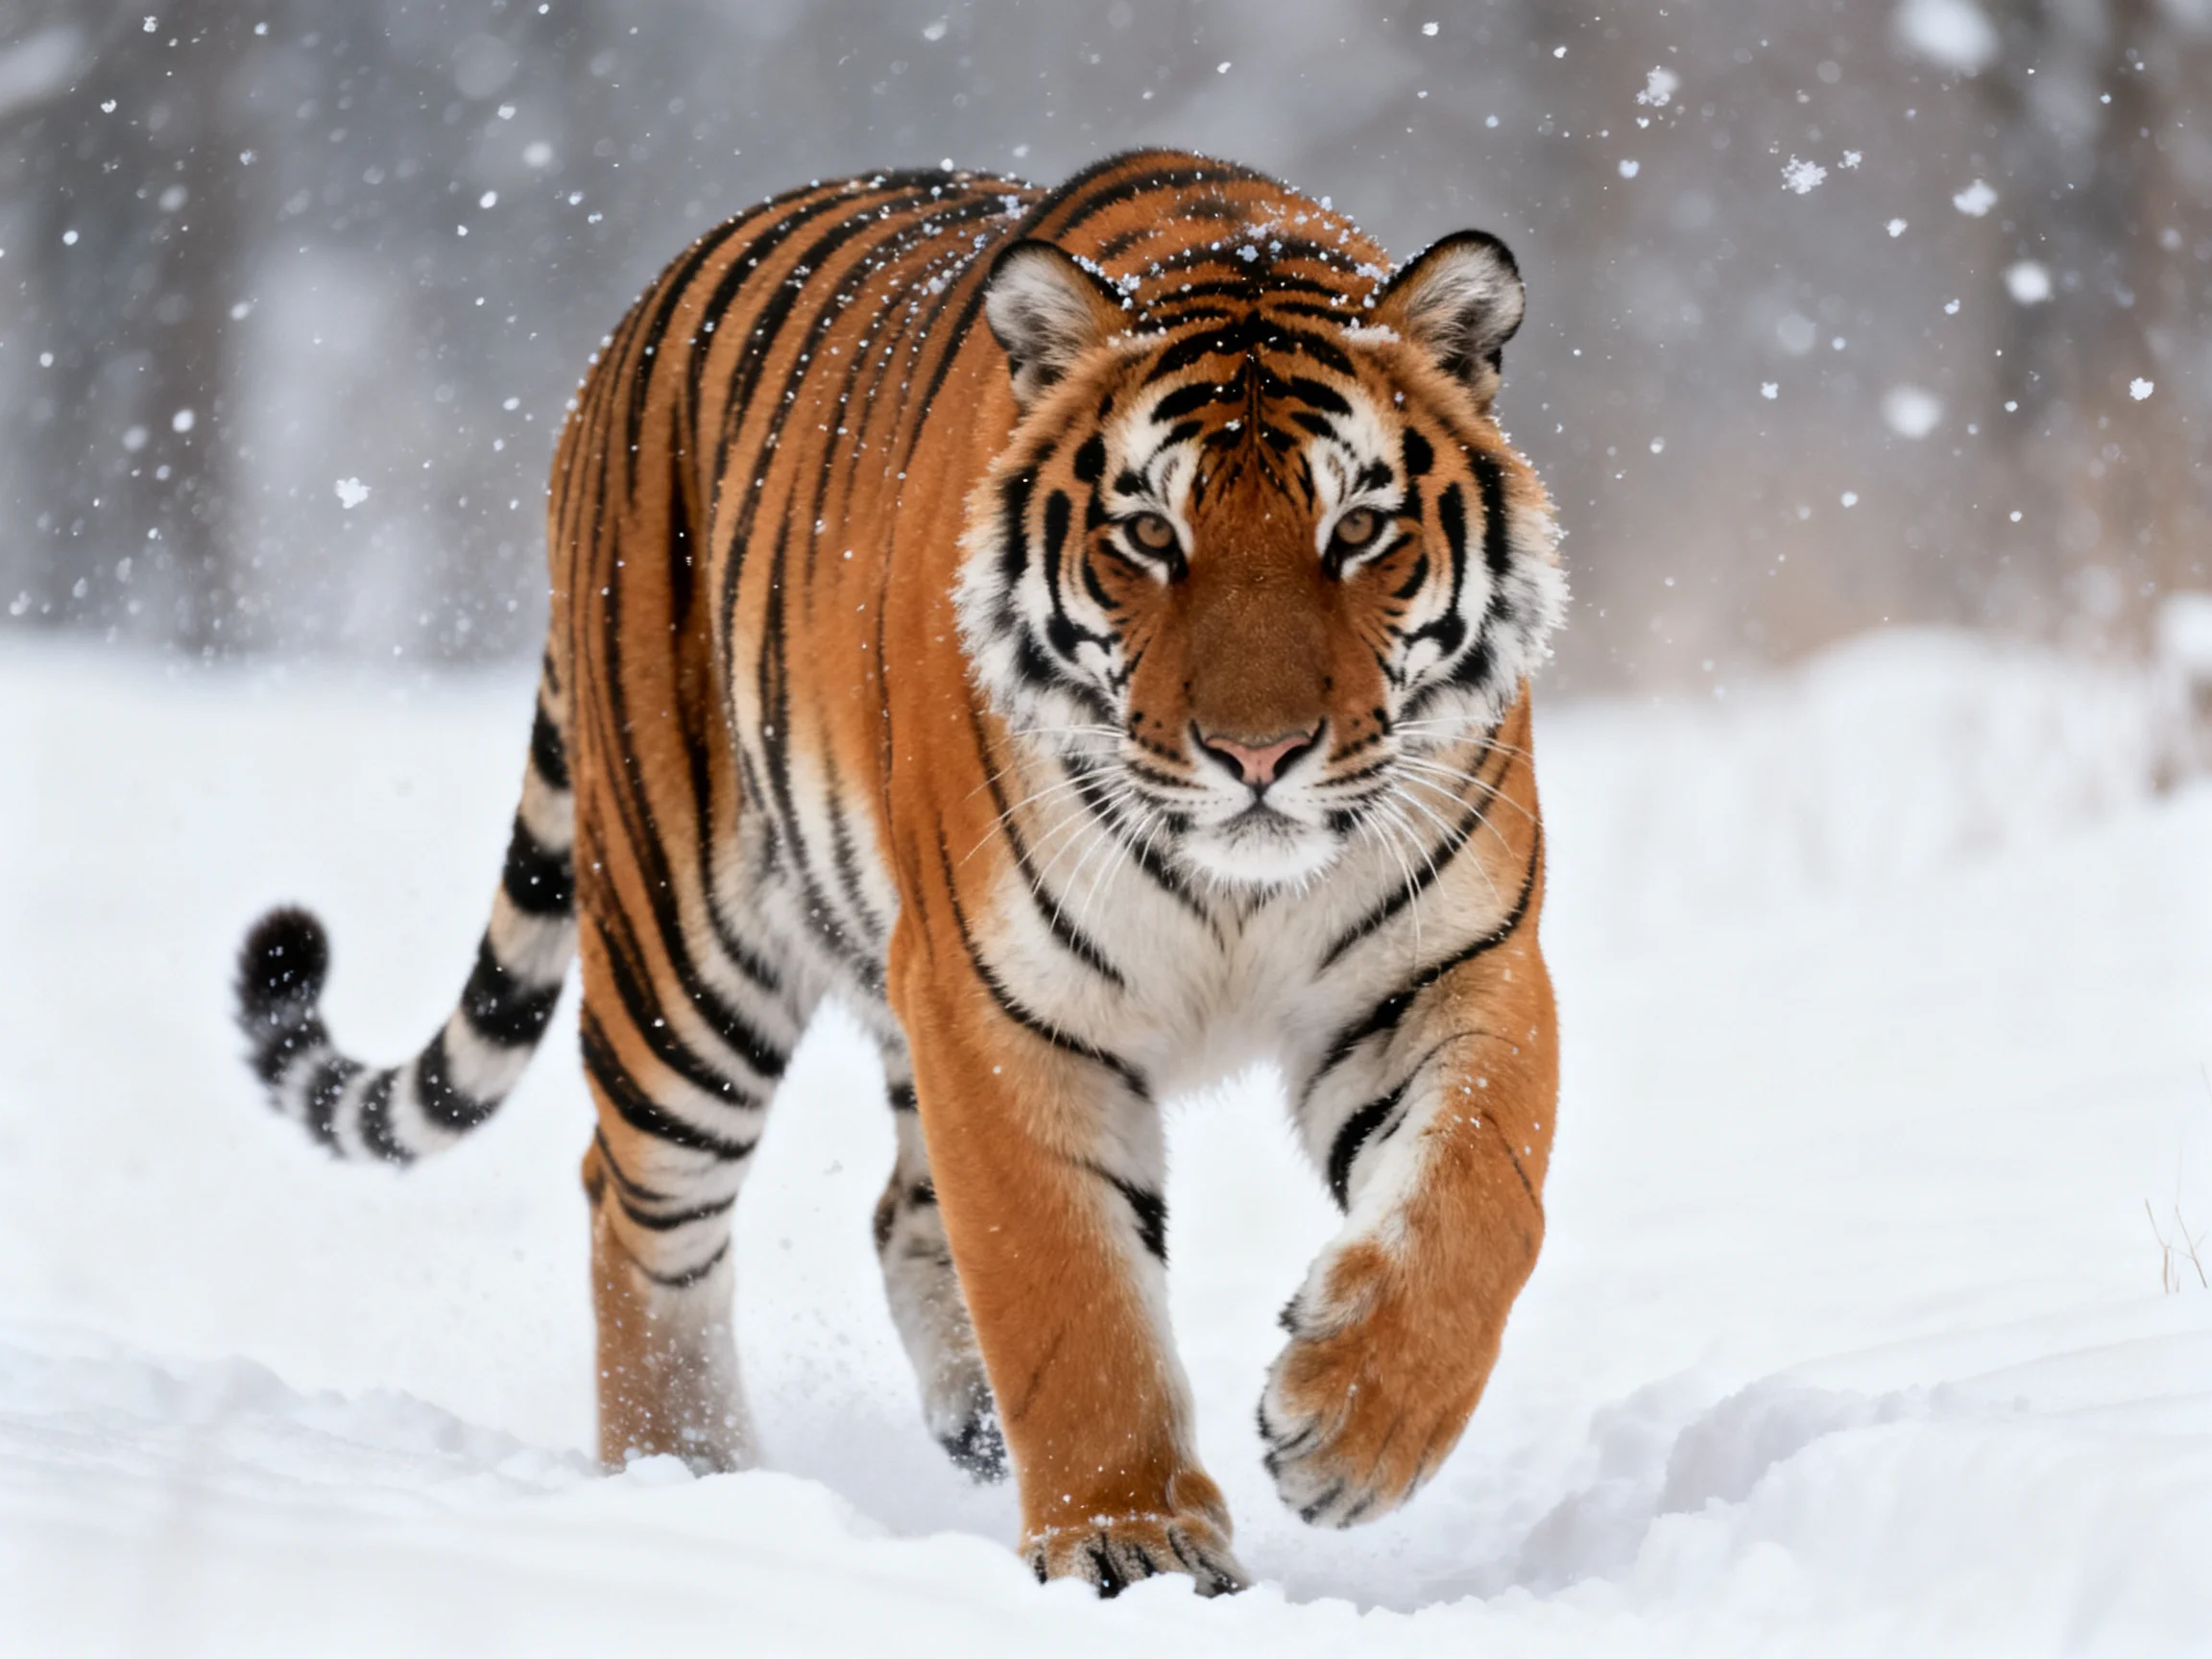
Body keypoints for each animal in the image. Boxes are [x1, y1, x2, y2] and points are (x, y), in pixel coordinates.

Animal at [234, 149, 1566, 1597]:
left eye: (1359, 529)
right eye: (1150, 536)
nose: (1256, 754)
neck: (1236, 889)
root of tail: (635, 322)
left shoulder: (1452, 966)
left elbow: (1482, 1199)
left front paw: (1352, 1430)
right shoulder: (1002, 1004)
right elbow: (1065, 1285)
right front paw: (1129, 1541)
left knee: (892, 1210)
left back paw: (962, 1416)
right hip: (684, 958)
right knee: (640, 1214)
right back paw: (687, 1485)